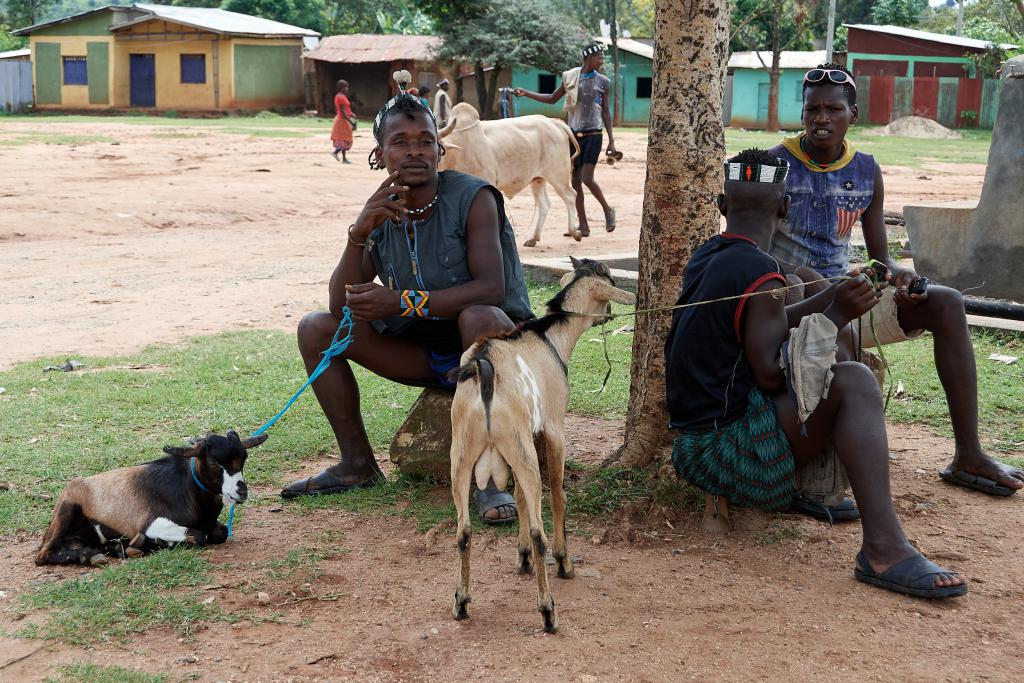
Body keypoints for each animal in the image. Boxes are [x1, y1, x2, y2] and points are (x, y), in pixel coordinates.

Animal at [35, 432, 266, 565]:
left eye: (243, 459)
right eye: (214, 462)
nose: (241, 492)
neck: (187, 488)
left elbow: (221, 532)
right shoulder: (151, 522)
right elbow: (199, 536)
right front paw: (159, 542)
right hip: (66, 510)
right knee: (42, 555)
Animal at [436, 102, 581, 246]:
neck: (459, 151)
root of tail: (554, 122)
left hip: (557, 175)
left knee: (570, 196)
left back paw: (574, 232)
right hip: (537, 179)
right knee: (544, 204)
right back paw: (533, 238)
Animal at [448, 258, 630, 634]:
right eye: (607, 278)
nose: (607, 316)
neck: (551, 336)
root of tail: (484, 369)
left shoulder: (525, 438)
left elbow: (518, 497)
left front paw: (522, 559)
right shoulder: (553, 427)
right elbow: (559, 493)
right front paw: (563, 562)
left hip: (465, 450)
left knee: (463, 531)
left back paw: (461, 602)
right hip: (520, 450)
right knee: (537, 529)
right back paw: (548, 611)